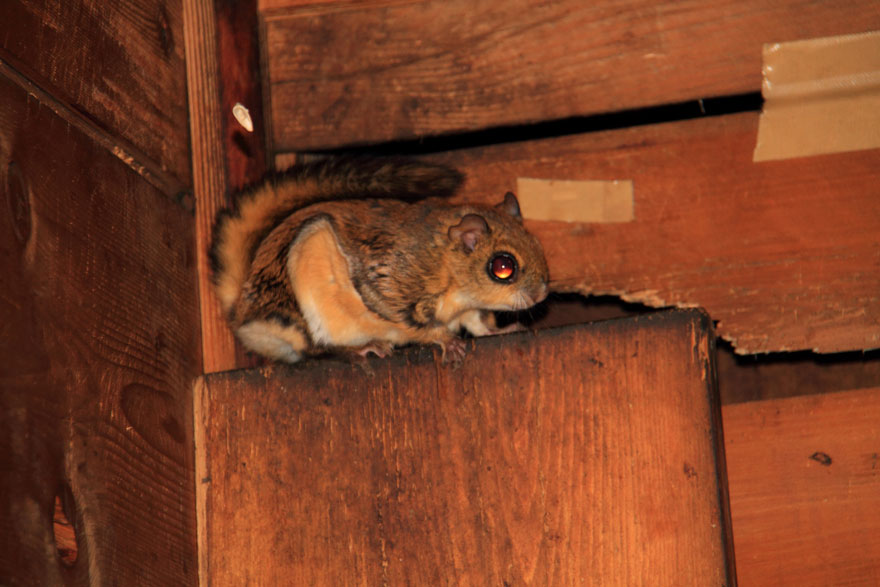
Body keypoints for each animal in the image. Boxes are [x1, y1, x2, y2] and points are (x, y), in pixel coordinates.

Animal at [209, 158, 548, 366]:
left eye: (537, 244)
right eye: (502, 267)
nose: (541, 294)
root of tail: (243, 312)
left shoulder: (469, 308)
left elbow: (478, 324)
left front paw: (499, 330)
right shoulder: (391, 286)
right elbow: (412, 324)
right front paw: (446, 340)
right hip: (305, 292)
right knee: (313, 347)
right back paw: (360, 348)